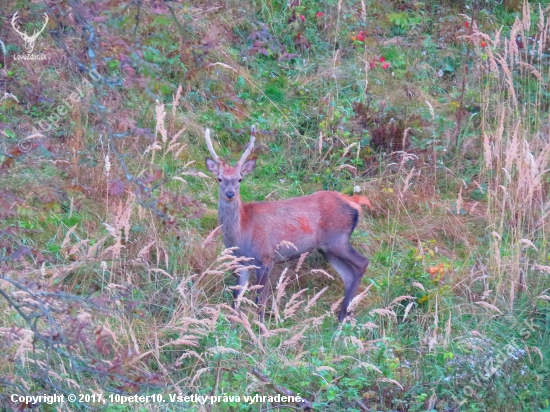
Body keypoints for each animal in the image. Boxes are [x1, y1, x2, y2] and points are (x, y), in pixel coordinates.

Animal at [205, 126, 374, 322]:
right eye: (219, 178)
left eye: (240, 179)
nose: (230, 193)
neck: (241, 232)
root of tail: (355, 202)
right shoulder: (242, 262)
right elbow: (236, 299)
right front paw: (233, 325)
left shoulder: (265, 257)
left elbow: (260, 300)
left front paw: (260, 326)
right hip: (327, 248)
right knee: (348, 275)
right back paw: (344, 316)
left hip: (337, 240)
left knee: (362, 263)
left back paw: (342, 317)